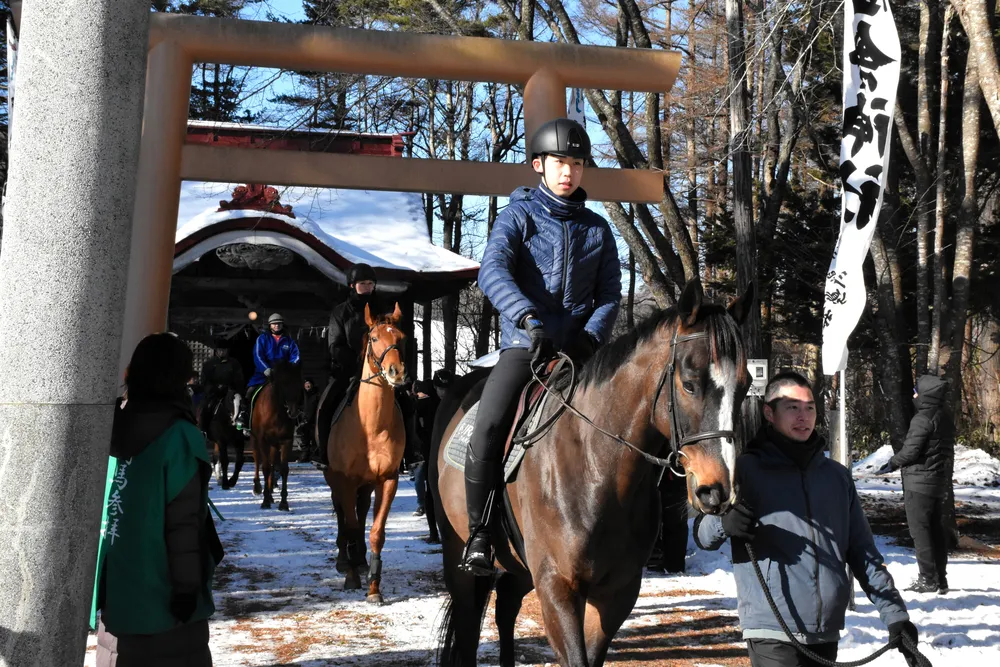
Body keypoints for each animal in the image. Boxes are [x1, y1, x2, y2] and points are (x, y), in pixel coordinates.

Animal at [251, 359, 304, 511]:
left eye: (299, 383)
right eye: (284, 383)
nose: (293, 411)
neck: (276, 413)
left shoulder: (286, 441)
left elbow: (283, 469)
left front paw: (283, 502)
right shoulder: (263, 440)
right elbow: (265, 467)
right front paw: (265, 501)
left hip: (274, 445)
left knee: (273, 465)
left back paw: (270, 493)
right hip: (255, 440)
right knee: (257, 460)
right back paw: (258, 487)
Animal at [323, 302, 407, 604]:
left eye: (401, 338)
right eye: (373, 338)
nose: (396, 372)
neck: (370, 426)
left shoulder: (388, 480)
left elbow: (376, 532)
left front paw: (373, 587)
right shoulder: (345, 480)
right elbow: (350, 526)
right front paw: (351, 577)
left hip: (366, 484)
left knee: (360, 514)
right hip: (335, 480)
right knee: (342, 515)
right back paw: (345, 561)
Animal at [432, 279, 754, 666]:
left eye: (745, 385)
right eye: (690, 383)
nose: (717, 490)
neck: (599, 471)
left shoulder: (618, 592)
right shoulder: (558, 586)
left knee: (506, 604)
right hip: (459, 553)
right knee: (468, 625)